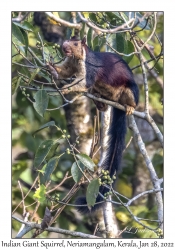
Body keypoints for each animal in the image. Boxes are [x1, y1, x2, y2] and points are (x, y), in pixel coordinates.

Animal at [51, 36, 139, 214]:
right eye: (67, 39)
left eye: (76, 43)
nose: (64, 46)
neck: (77, 58)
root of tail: (117, 104)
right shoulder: (70, 64)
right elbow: (64, 72)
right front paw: (51, 68)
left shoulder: (89, 68)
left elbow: (82, 83)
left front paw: (65, 88)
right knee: (100, 100)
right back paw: (100, 103)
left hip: (130, 91)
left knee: (131, 99)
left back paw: (130, 107)